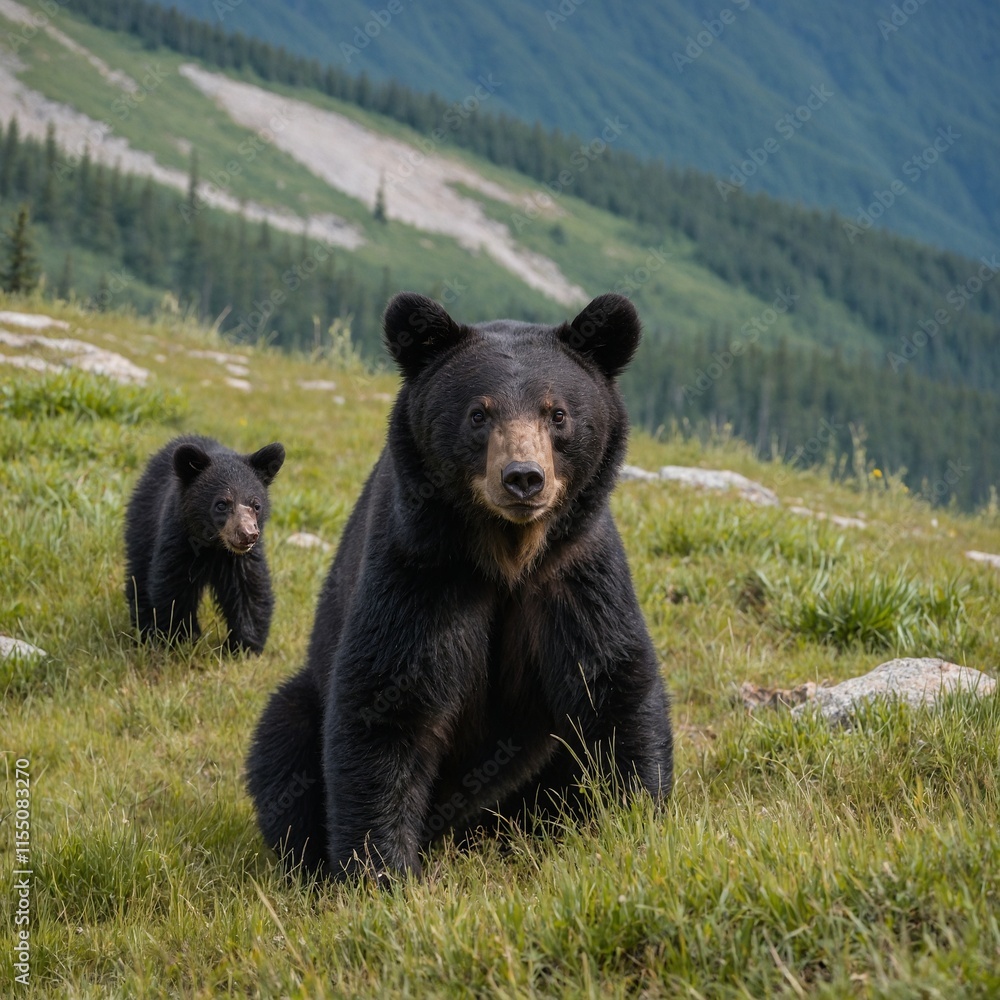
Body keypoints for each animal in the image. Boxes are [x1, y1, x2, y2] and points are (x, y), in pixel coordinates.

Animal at [125, 435, 285, 655]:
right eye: (222, 504)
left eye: (256, 505)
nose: (247, 535)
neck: (214, 547)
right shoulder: (179, 542)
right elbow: (174, 588)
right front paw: (181, 638)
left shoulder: (241, 559)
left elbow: (250, 590)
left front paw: (244, 646)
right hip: (144, 522)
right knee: (139, 573)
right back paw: (145, 627)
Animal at [246, 291, 672, 880]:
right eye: (478, 413)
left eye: (558, 413)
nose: (523, 478)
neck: (507, 556)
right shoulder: (420, 570)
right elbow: (387, 703)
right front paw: (380, 872)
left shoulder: (575, 575)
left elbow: (613, 683)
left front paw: (636, 821)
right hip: (304, 701)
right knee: (283, 739)